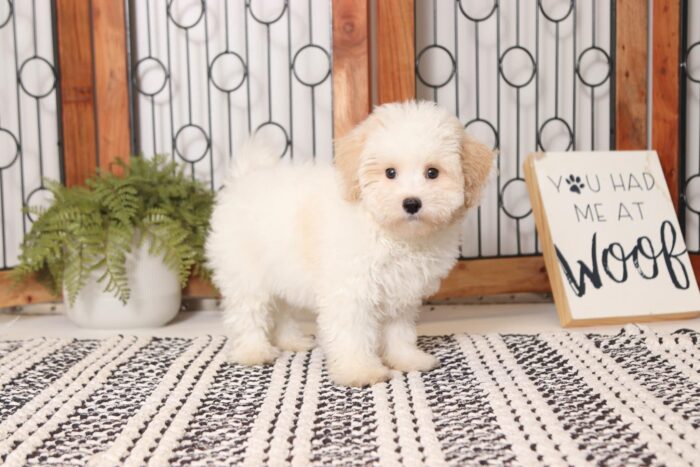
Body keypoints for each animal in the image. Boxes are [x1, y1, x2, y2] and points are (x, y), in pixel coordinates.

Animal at [206, 99, 492, 388]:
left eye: (432, 172)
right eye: (390, 173)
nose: (411, 203)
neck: (393, 234)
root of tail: (245, 177)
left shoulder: (401, 290)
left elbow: (399, 330)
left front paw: (406, 358)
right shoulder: (351, 290)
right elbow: (353, 333)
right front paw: (360, 371)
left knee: (281, 309)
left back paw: (291, 340)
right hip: (245, 272)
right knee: (248, 312)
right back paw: (254, 351)